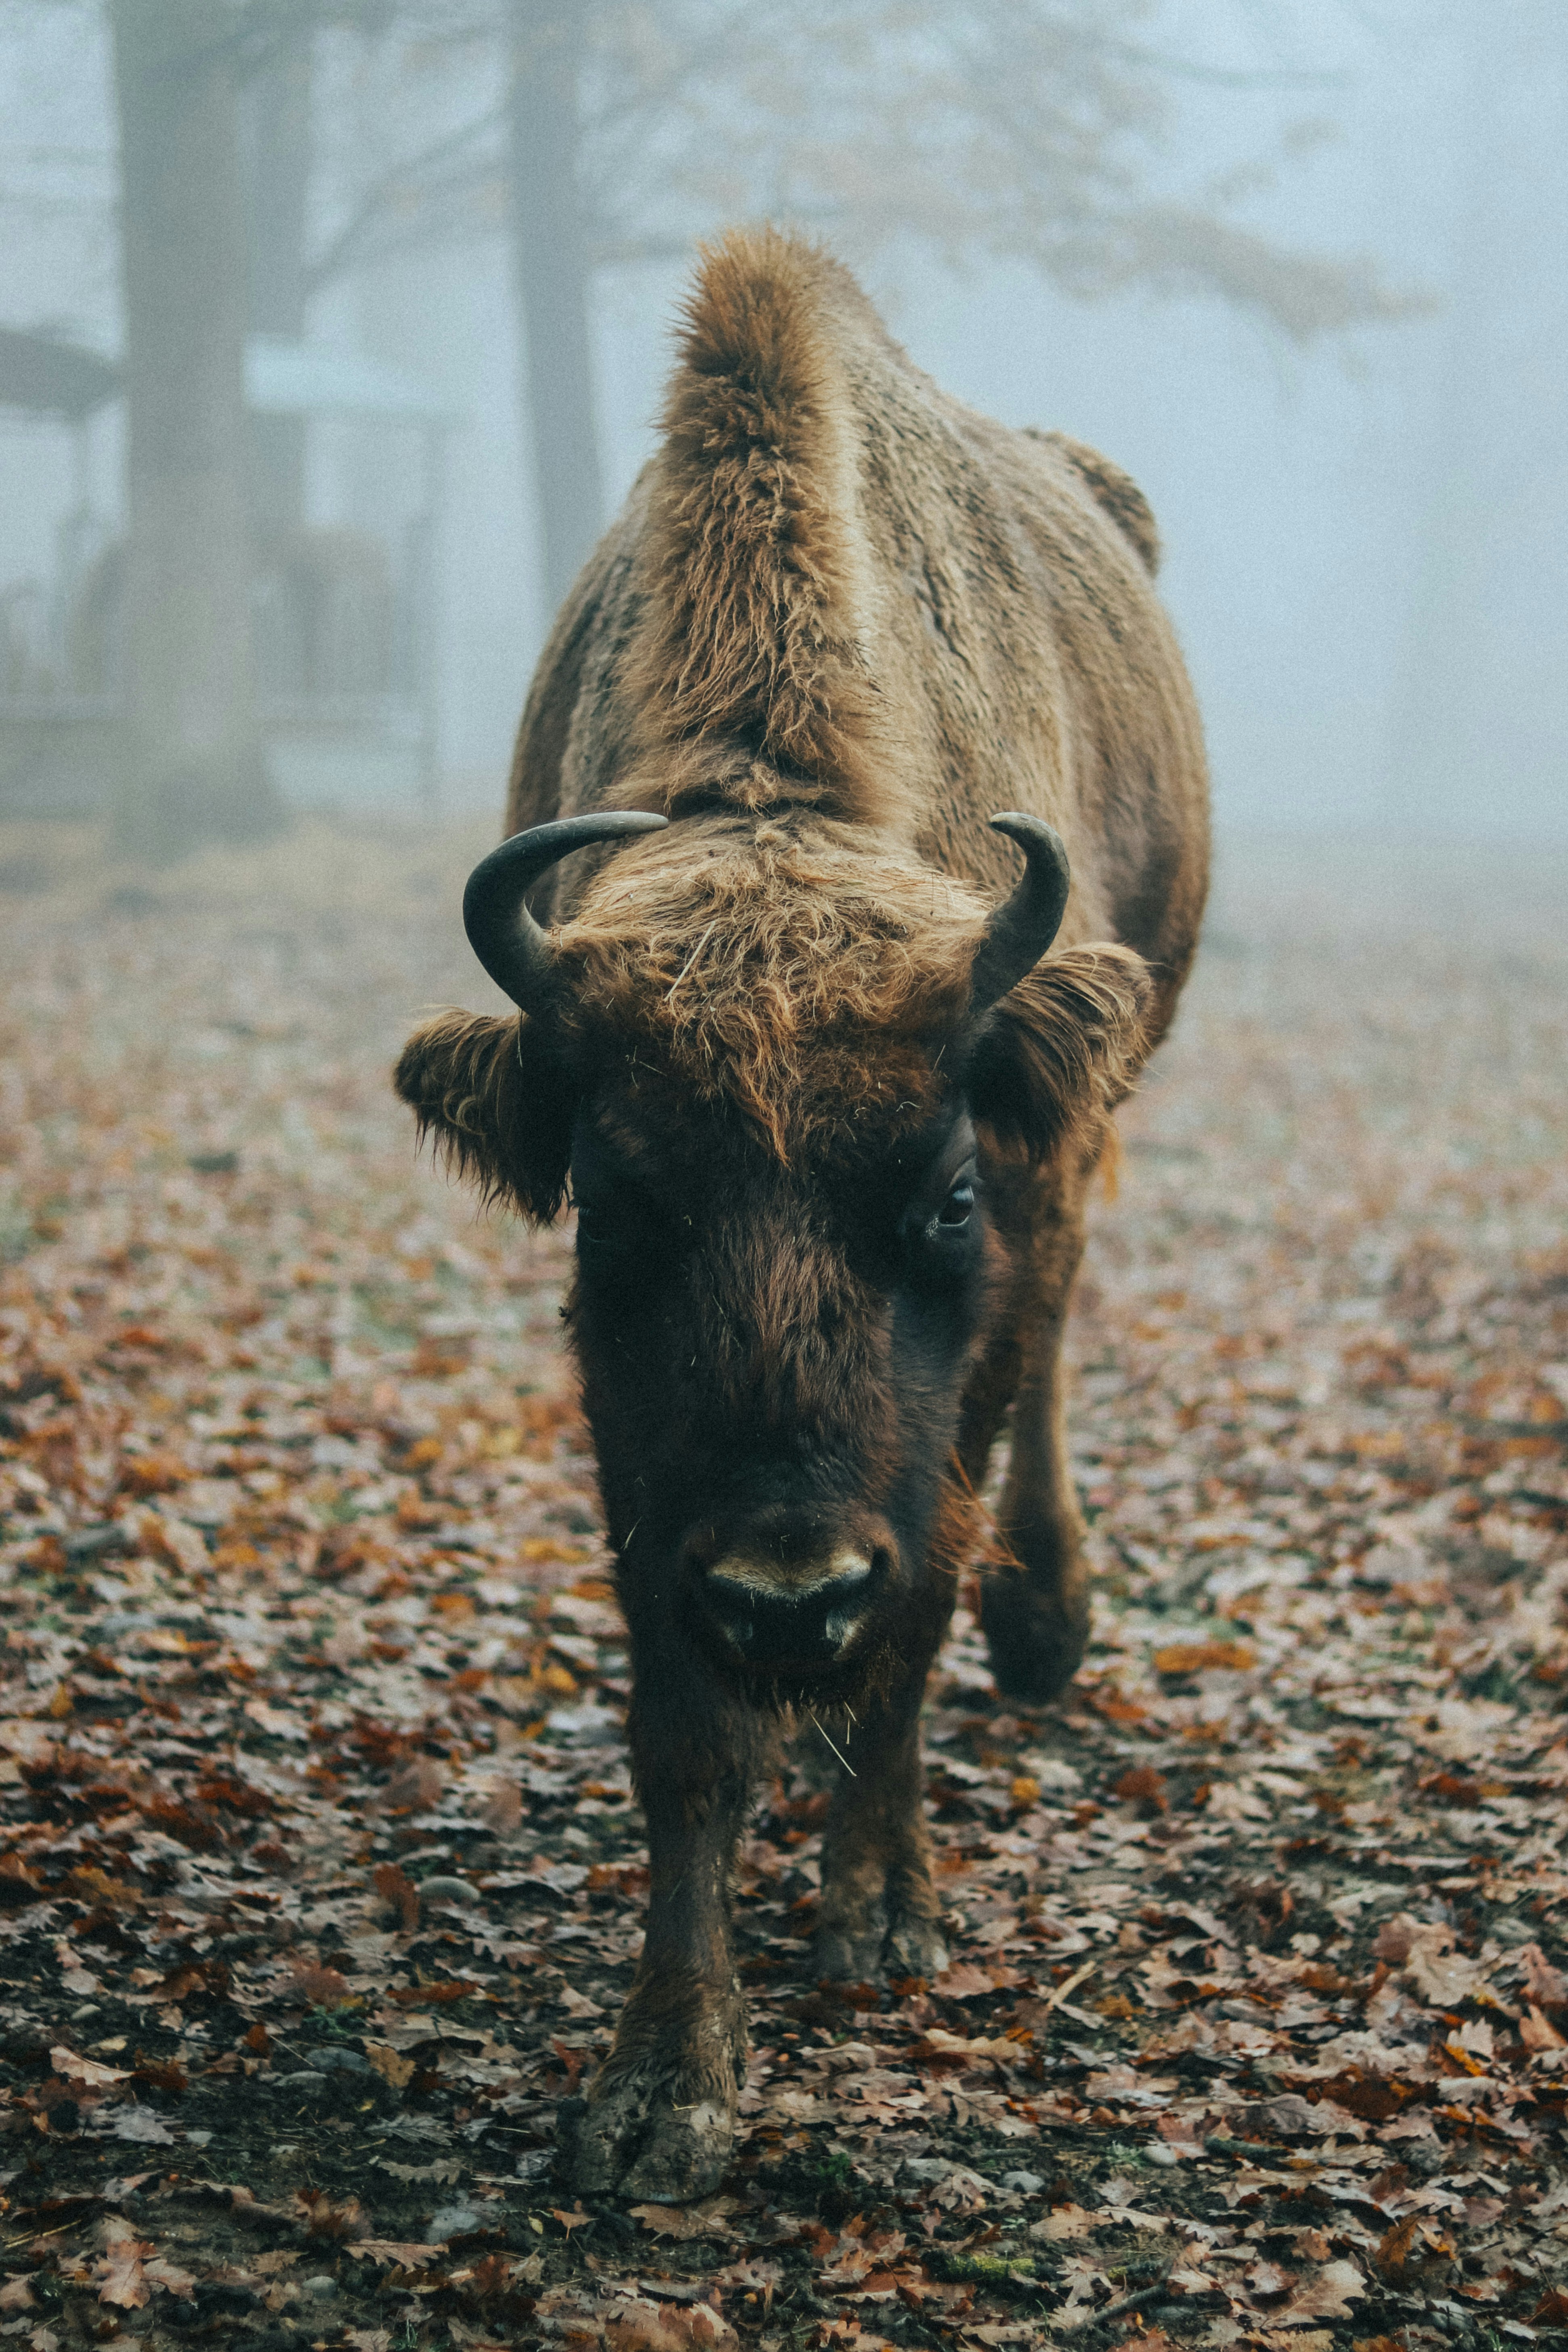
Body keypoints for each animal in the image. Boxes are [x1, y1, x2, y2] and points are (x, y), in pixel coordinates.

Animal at [395, 227, 1208, 2200]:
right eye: (617, 1205)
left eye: (944, 1193)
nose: (785, 1594)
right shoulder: (642, 1438)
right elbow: (680, 1731)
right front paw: (665, 2081)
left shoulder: (1007, 1241)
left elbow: (921, 1593)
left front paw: (879, 1911)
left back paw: (1046, 1624)